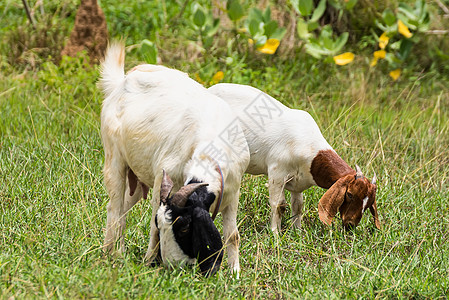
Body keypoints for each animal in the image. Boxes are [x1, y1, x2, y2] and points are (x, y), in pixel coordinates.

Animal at [98, 42, 250, 276]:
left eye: (185, 226)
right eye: (163, 225)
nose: (174, 266)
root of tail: (122, 82)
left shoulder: (233, 193)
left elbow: (232, 235)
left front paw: (234, 273)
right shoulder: (162, 182)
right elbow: (152, 231)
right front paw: (149, 262)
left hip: (137, 177)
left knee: (121, 209)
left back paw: (117, 252)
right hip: (114, 158)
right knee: (114, 210)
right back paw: (111, 255)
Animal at [207, 82, 378, 232]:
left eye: (369, 202)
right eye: (349, 194)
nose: (350, 225)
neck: (310, 149)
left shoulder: (298, 182)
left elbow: (298, 206)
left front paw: (297, 231)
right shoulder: (276, 174)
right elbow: (279, 205)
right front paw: (275, 234)